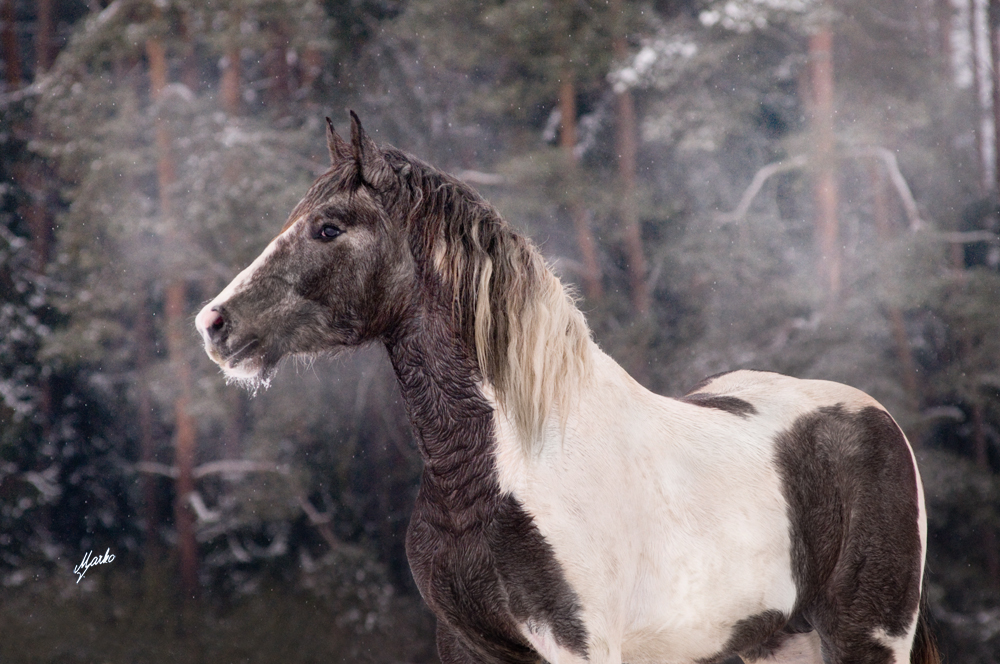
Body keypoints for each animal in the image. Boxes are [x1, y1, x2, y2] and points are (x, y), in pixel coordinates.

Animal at [197, 114, 936, 664]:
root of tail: (877, 418)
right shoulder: (467, 646)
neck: (513, 463)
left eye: (329, 227)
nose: (214, 324)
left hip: (866, 638)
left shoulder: (576, 645)